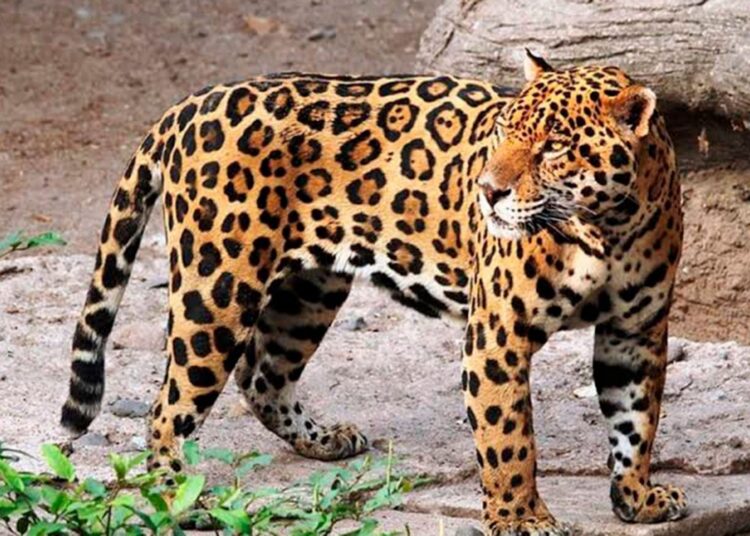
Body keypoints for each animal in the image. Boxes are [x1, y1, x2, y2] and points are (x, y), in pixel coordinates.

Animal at [61, 51, 686, 535]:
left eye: (554, 147)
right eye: (504, 133)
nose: (488, 191)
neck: (607, 229)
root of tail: (190, 104)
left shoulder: (635, 334)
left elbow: (636, 421)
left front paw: (637, 498)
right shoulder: (497, 337)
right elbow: (509, 439)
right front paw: (520, 518)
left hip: (309, 293)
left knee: (262, 375)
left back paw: (323, 440)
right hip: (217, 291)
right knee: (167, 407)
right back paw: (175, 497)